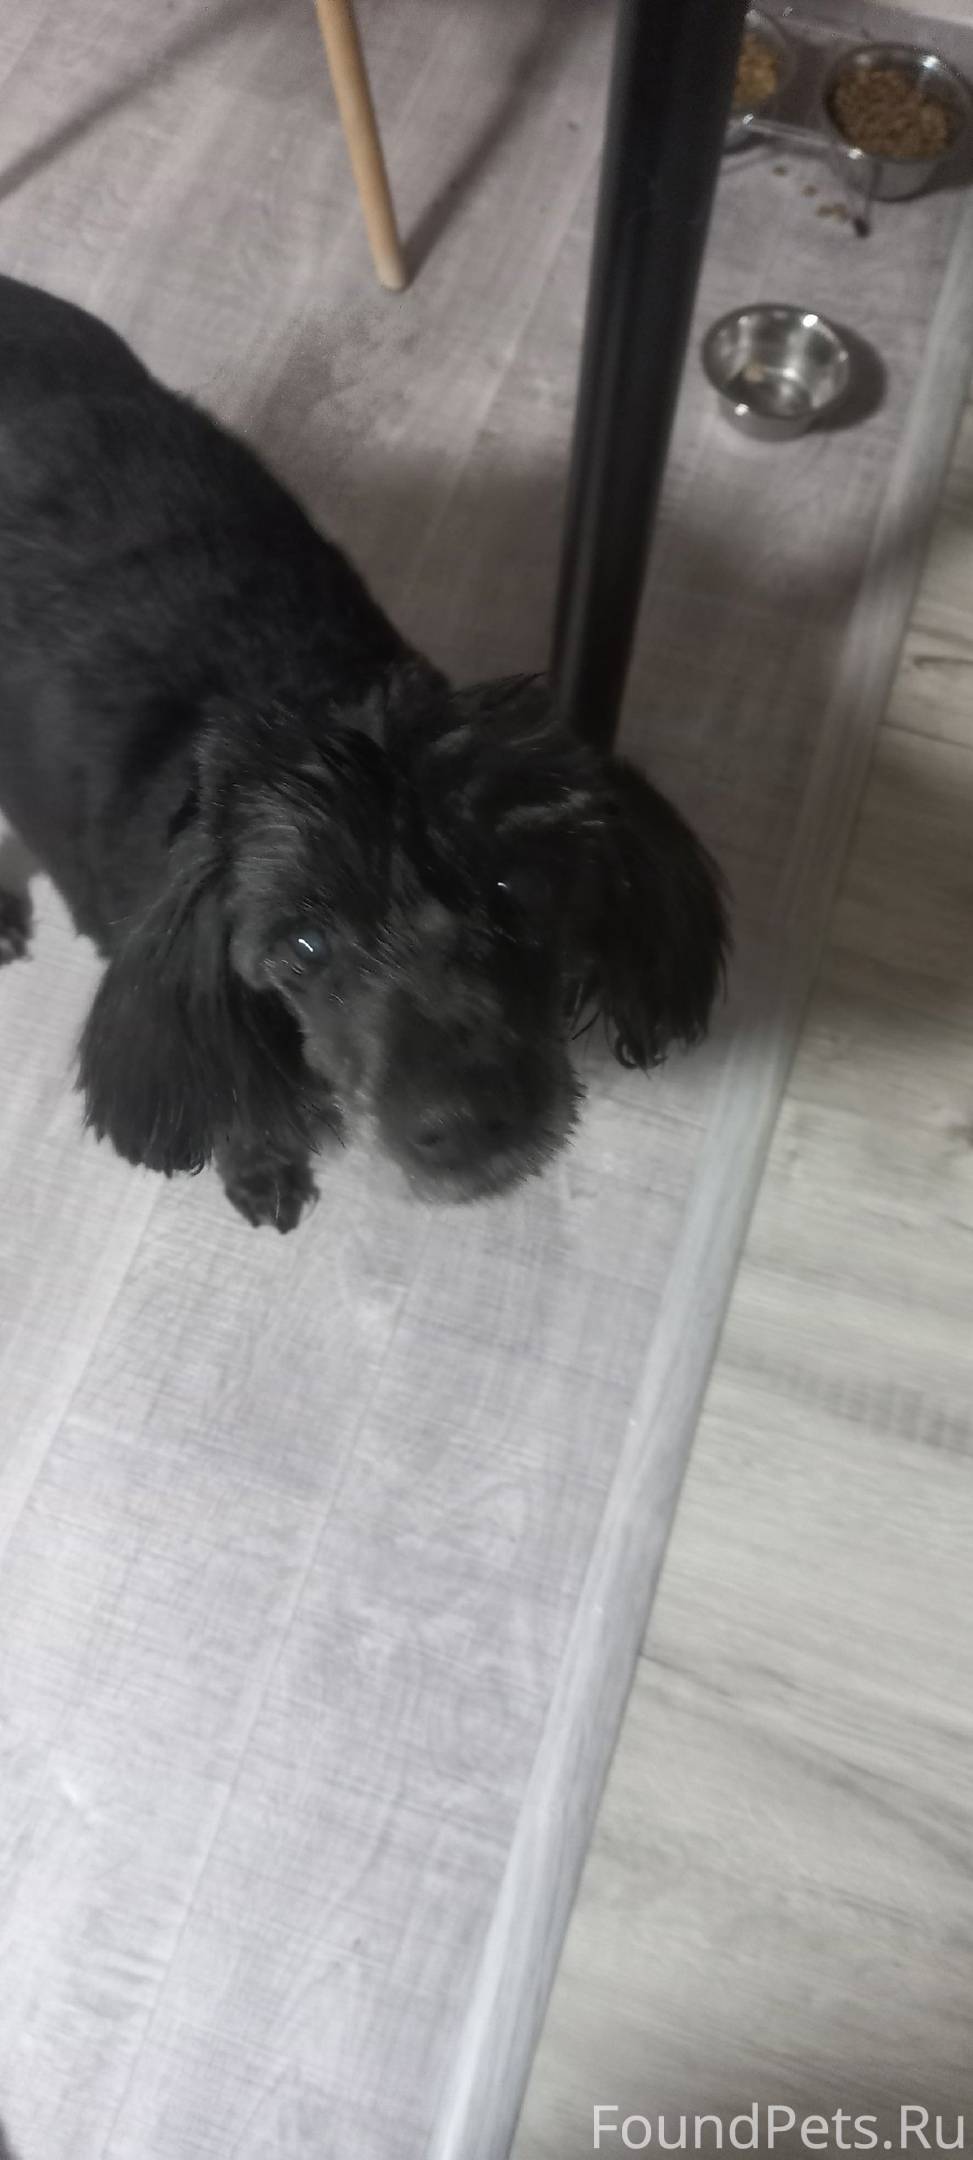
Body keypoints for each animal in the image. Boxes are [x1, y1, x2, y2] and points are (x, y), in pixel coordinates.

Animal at [0, 275, 728, 1230]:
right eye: (302, 949)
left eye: (514, 888)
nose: (466, 1122)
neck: (289, 688)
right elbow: (247, 1102)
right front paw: (262, 1162)